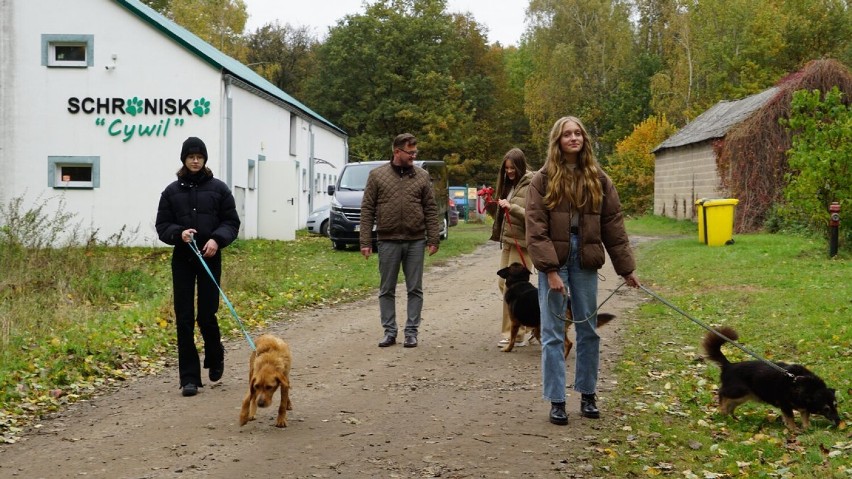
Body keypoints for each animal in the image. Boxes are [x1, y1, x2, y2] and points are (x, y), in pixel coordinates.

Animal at [704, 328, 840, 434]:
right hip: (738, 391)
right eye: (826, 408)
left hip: (744, 396)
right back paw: (723, 411)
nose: (839, 422)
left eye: (836, 405)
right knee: (722, 393)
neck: (800, 384)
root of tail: (728, 366)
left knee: (730, 404)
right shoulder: (785, 404)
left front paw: (807, 428)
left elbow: (805, 417)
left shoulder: (803, 408)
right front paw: (794, 429)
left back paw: (732, 418)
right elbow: (791, 418)